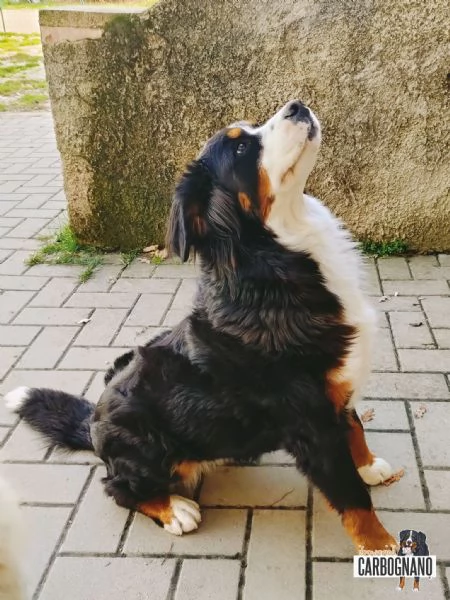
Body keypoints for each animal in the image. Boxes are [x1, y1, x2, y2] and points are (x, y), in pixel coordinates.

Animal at [5, 98, 398, 552]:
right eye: (242, 148)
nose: (297, 105)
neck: (276, 259)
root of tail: (93, 422)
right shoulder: (311, 422)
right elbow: (351, 496)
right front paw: (381, 545)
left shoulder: (336, 390)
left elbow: (354, 427)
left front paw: (368, 465)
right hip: (145, 448)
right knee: (118, 488)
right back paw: (175, 509)